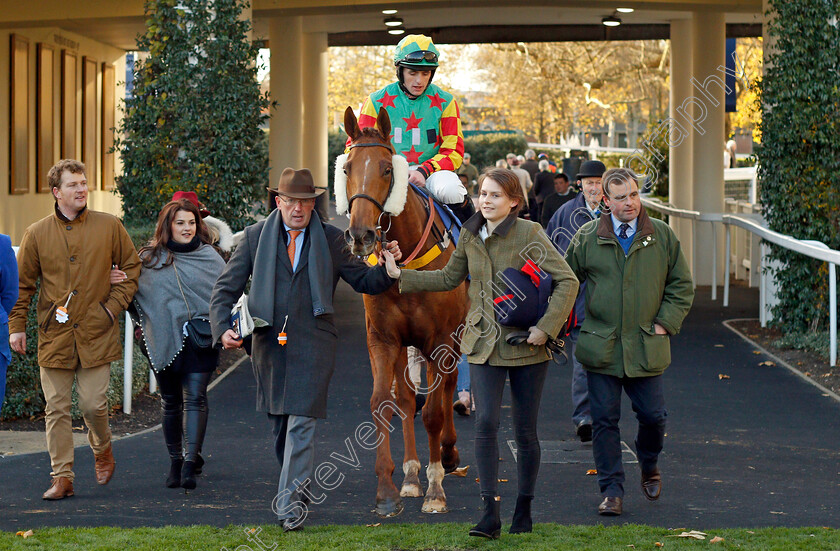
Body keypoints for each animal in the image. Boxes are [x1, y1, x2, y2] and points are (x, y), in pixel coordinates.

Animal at [336, 106, 472, 516]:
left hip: (454, 337)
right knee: (408, 399)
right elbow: (384, 403)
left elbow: (434, 412)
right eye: (347, 168)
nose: (361, 235)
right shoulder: (383, 338)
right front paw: (389, 488)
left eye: (386, 169)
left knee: (446, 388)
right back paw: (412, 476)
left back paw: (447, 454)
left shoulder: (438, 340)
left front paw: (435, 491)